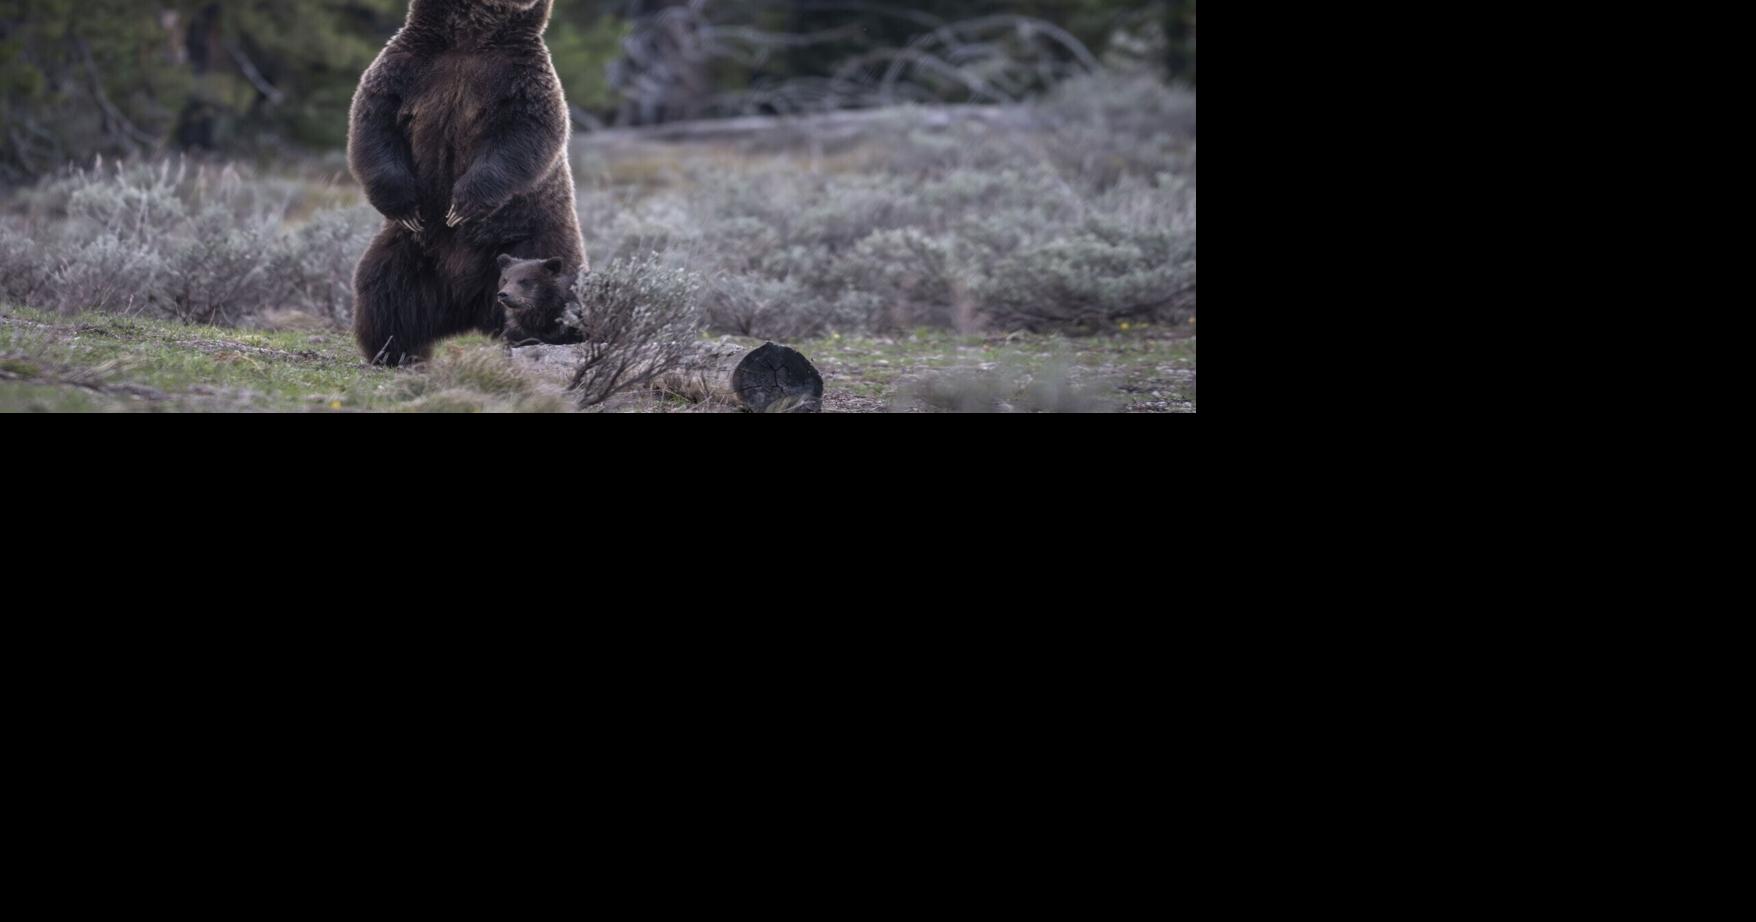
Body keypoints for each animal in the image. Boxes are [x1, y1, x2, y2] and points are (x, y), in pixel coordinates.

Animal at [348, 0, 586, 366]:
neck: (469, 39)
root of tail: (469, 305)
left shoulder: (521, 79)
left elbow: (525, 135)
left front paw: (463, 205)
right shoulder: (408, 67)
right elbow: (375, 121)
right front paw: (404, 205)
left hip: (535, 239)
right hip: (414, 252)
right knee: (385, 290)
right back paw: (394, 352)